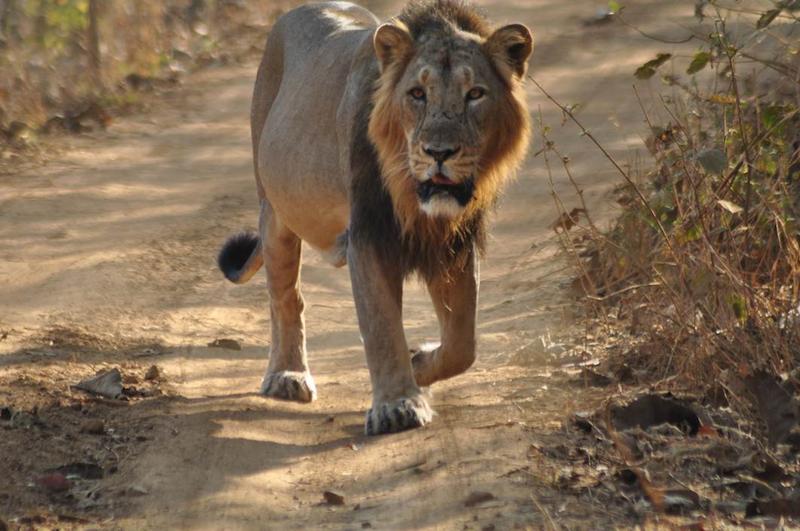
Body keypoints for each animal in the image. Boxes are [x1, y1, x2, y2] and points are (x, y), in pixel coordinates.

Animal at [217, 0, 532, 436]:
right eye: (417, 94)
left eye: (475, 94)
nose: (439, 152)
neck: (416, 202)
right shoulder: (367, 235)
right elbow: (382, 326)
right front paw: (398, 406)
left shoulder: (454, 243)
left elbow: (462, 343)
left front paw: (419, 365)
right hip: (275, 208)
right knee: (286, 297)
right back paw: (286, 376)